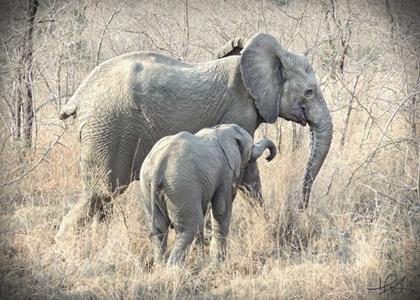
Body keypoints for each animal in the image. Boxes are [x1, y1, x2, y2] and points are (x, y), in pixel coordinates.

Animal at [55, 32, 334, 243]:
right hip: (108, 127)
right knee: (101, 192)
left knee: (103, 199)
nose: (302, 207)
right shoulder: (239, 111)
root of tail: (79, 95)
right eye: (309, 92)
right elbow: (245, 173)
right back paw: (65, 247)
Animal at [139, 123, 276, 264]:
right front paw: (218, 261)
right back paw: (173, 267)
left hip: (148, 189)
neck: (221, 129)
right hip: (180, 188)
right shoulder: (225, 171)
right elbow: (221, 210)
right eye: (251, 148)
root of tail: (157, 170)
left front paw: (201, 257)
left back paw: (160, 265)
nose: (268, 158)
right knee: (190, 228)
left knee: (159, 230)